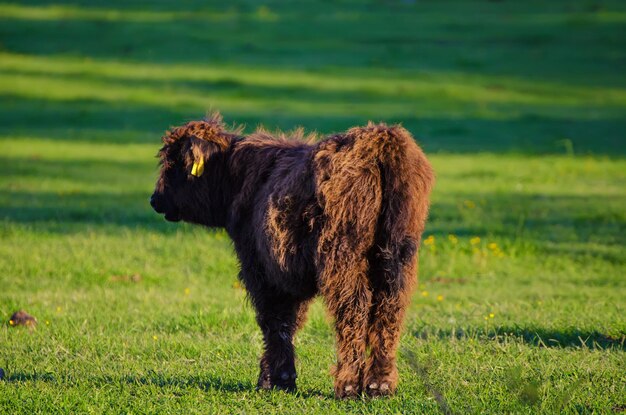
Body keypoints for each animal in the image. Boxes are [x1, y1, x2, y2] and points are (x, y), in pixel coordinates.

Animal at [149, 114, 432, 400]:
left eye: (174, 163)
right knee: (389, 308)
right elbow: (289, 322)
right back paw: (379, 385)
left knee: (353, 309)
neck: (239, 178)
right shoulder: (290, 276)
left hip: (343, 258)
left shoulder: (261, 271)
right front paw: (276, 377)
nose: (155, 199)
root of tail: (380, 141)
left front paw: (276, 380)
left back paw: (349, 385)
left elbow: (275, 322)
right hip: (397, 256)